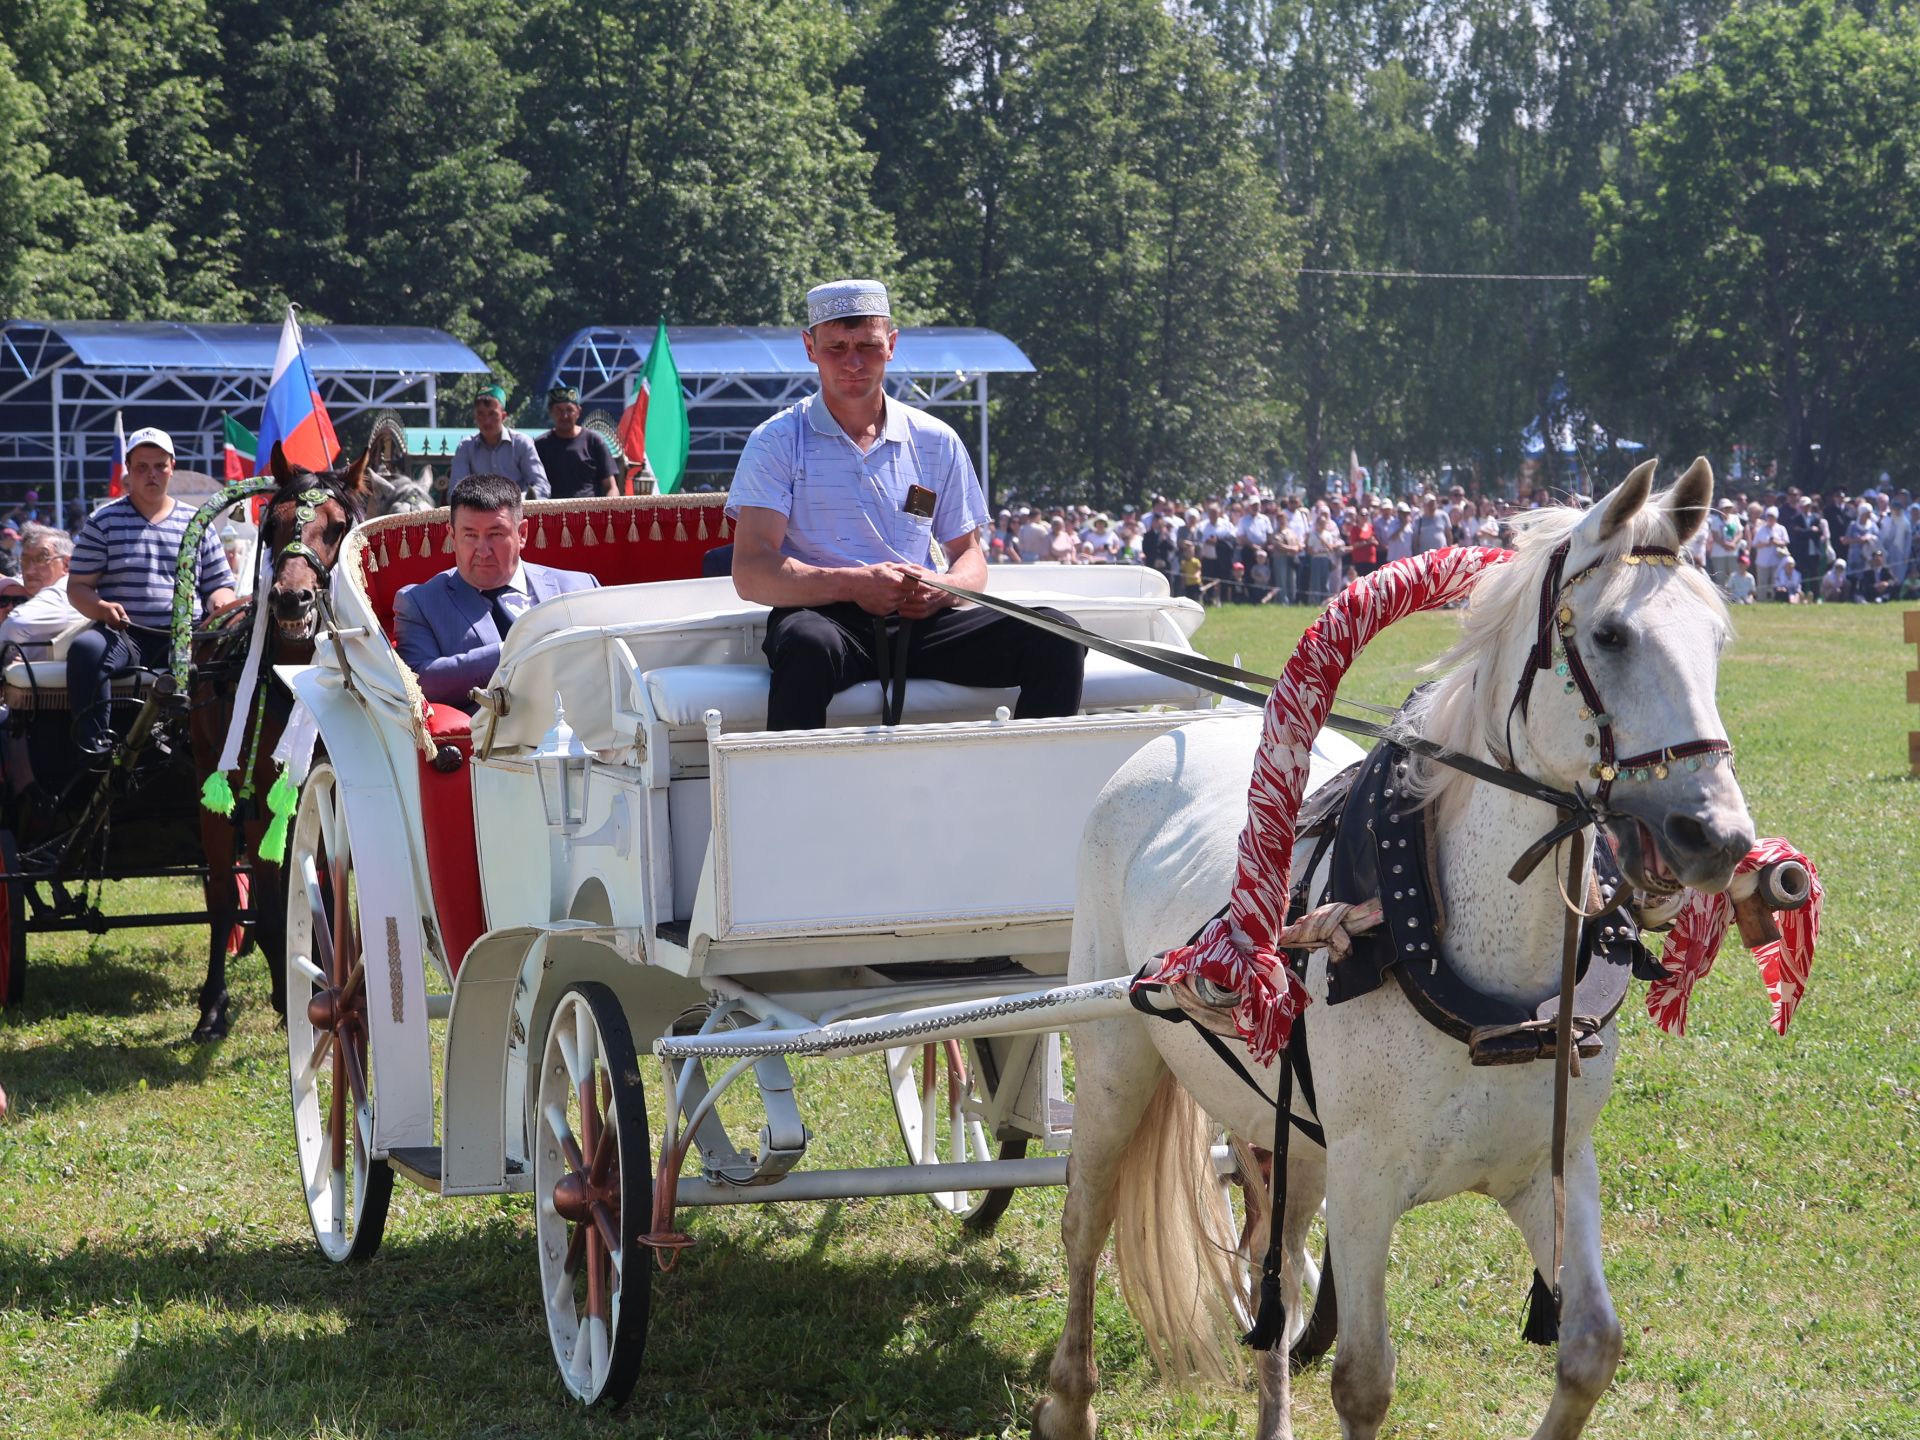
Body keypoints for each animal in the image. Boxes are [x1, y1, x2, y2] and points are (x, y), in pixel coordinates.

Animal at [189, 445, 368, 1044]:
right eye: (273, 525)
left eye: (335, 527)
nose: (291, 598)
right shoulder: (255, 795)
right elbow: (256, 901)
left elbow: (326, 889)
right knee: (228, 894)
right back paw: (219, 1001)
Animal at [1044, 462, 1758, 1440]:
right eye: (1611, 634)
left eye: (1718, 639)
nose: (1717, 836)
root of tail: (1176, 737)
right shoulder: (1367, 1183)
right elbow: (1364, 1381)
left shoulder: (1550, 1166)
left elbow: (1590, 1348)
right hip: (1118, 1061)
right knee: (1087, 1219)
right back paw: (1068, 1401)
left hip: (1288, 1136)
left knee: (1269, 1259)